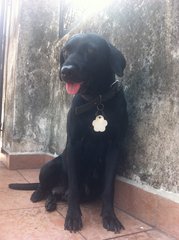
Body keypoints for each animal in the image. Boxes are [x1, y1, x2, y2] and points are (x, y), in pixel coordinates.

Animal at [9, 33, 128, 232]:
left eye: (91, 50)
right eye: (65, 51)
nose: (66, 71)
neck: (96, 101)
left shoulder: (114, 148)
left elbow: (108, 189)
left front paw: (110, 217)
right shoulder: (73, 145)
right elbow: (73, 188)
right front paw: (73, 217)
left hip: (89, 189)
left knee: (57, 193)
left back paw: (51, 201)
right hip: (49, 166)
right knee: (46, 187)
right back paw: (39, 195)